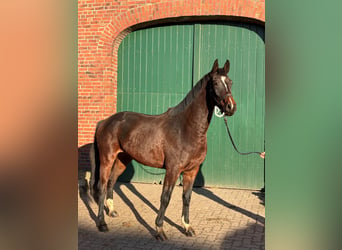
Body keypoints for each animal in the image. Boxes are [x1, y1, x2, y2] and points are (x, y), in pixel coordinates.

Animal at [89, 58, 236, 240]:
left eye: (230, 82)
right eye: (215, 82)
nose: (231, 107)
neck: (186, 128)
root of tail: (104, 121)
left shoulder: (191, 171)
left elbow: (187, 197)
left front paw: (187, 227)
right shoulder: (173, 170)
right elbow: (165, 197)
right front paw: (159, 229)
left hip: (123, 158)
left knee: (111, 181)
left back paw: (112, 211)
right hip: (107, 159)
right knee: (101, 186)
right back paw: (102, 223)